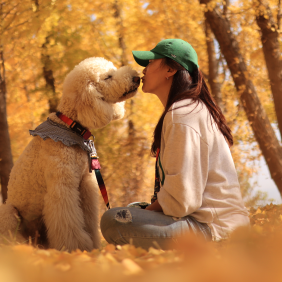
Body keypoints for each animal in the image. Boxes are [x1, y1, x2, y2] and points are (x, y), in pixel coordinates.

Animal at [0, 57, 140, 251]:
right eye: (108, 77)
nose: (137, 77)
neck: (70, 126)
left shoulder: (84, 186)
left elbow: (88, 219)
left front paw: (93, 245)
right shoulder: (62, 187)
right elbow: (67, 221)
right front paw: (76, 248)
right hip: (8, 212)